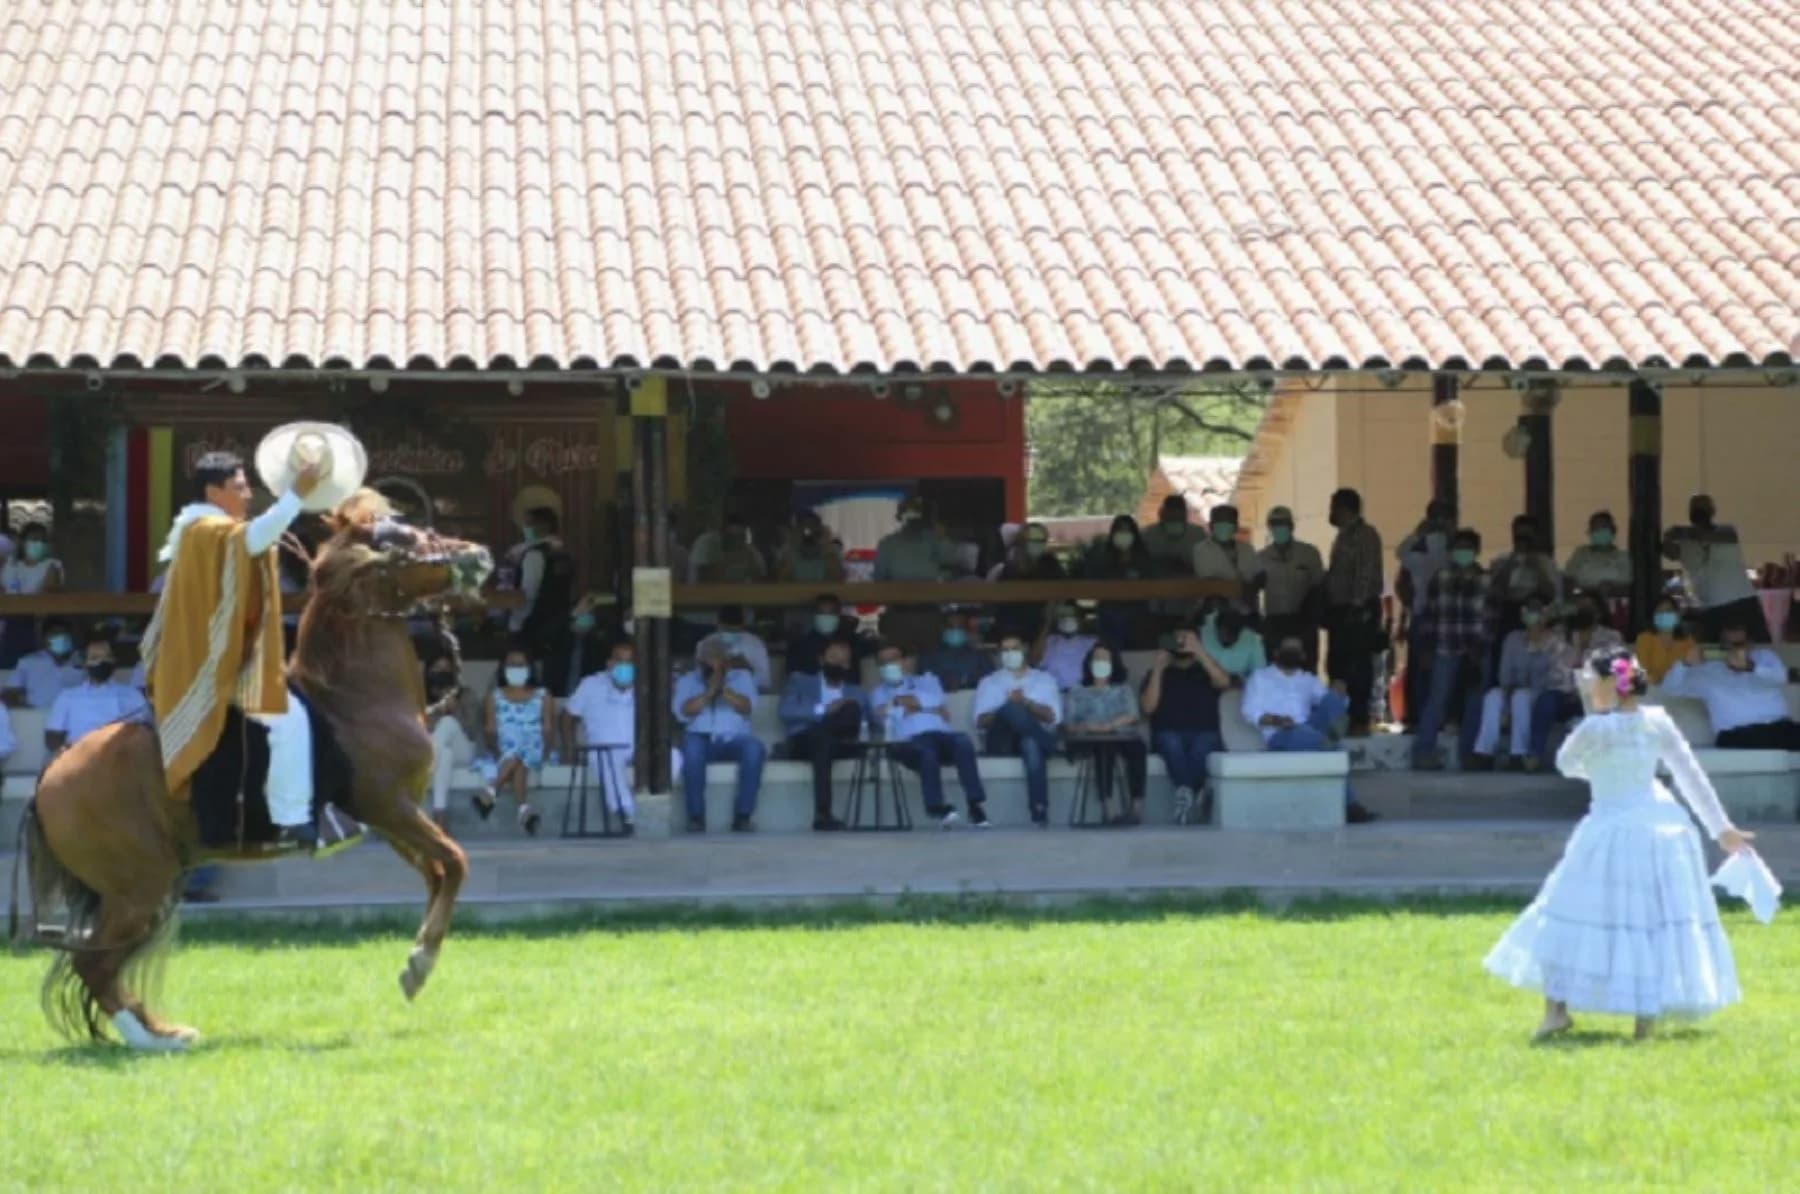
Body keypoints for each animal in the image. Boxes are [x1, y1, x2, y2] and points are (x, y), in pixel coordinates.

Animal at [11, 514, 493, 1050]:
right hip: (139, 886)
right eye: (405, 539)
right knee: (94, 964)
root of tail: (49, 778)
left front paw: (417, 958)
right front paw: (419, 964)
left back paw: (163, 1030)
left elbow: (437, 872)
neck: (354, 701)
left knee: (104, 966)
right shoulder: (390, 806)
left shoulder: (390, 819)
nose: (479, 554)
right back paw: (153, 1040)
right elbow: (456, 861)